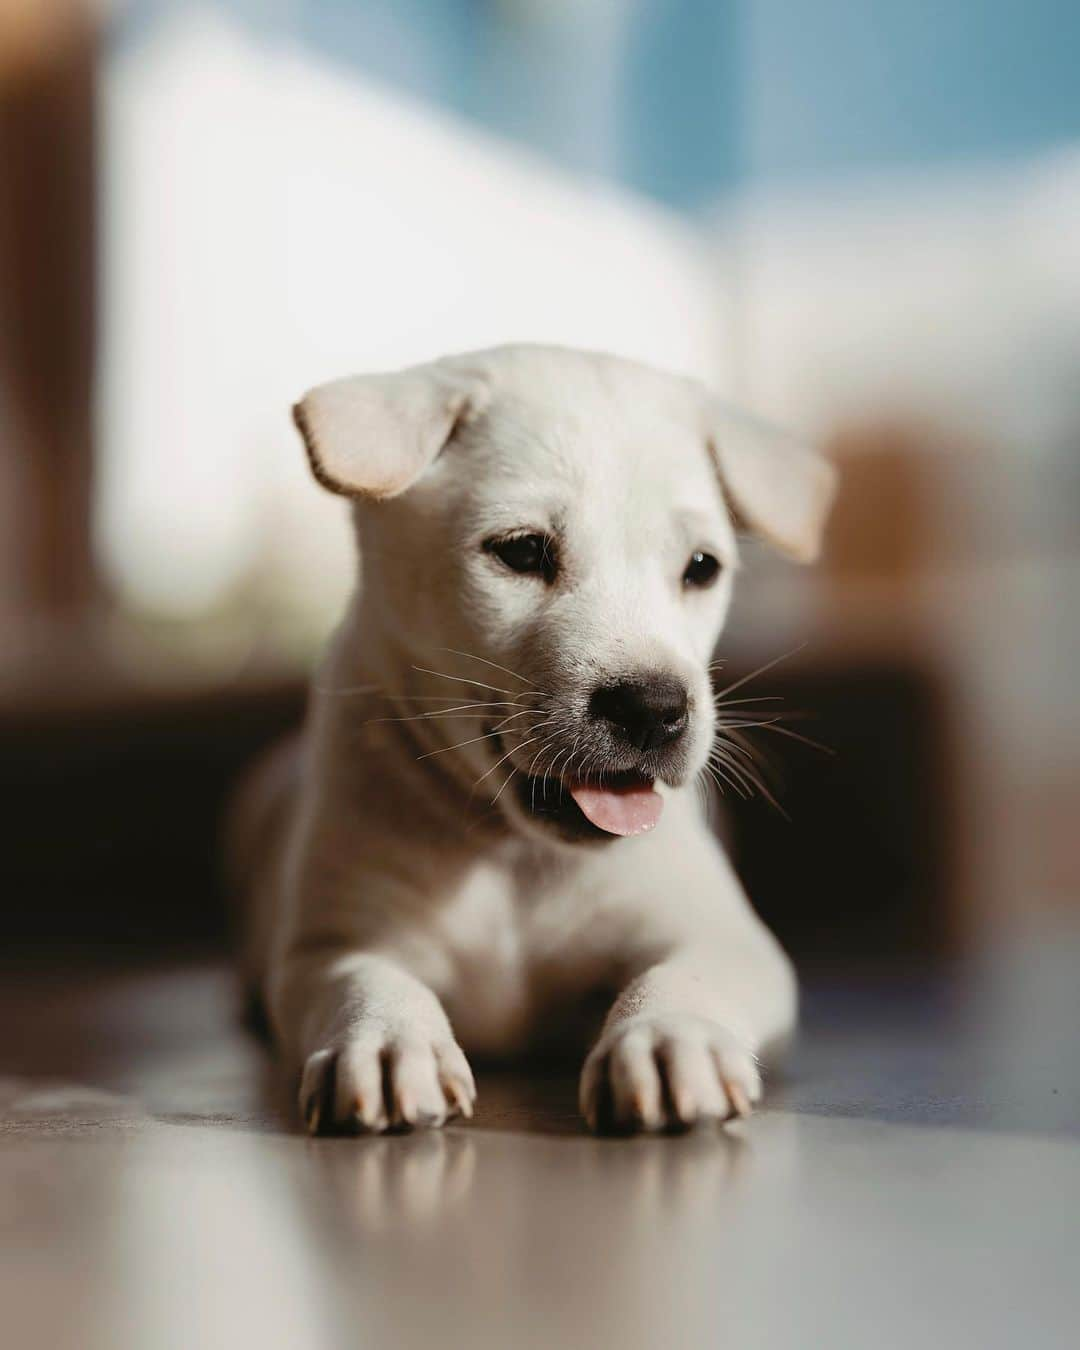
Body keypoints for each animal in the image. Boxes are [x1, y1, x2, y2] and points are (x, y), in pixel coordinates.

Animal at [232, 342, 831, 1134]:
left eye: (702, 568)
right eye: (520, 552)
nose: (654, 709)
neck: (512, 854)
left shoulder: (732, 942)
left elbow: (688, 972)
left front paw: (670, 1036)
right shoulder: (328, 947)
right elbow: (366, 978)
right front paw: (389, 1041)